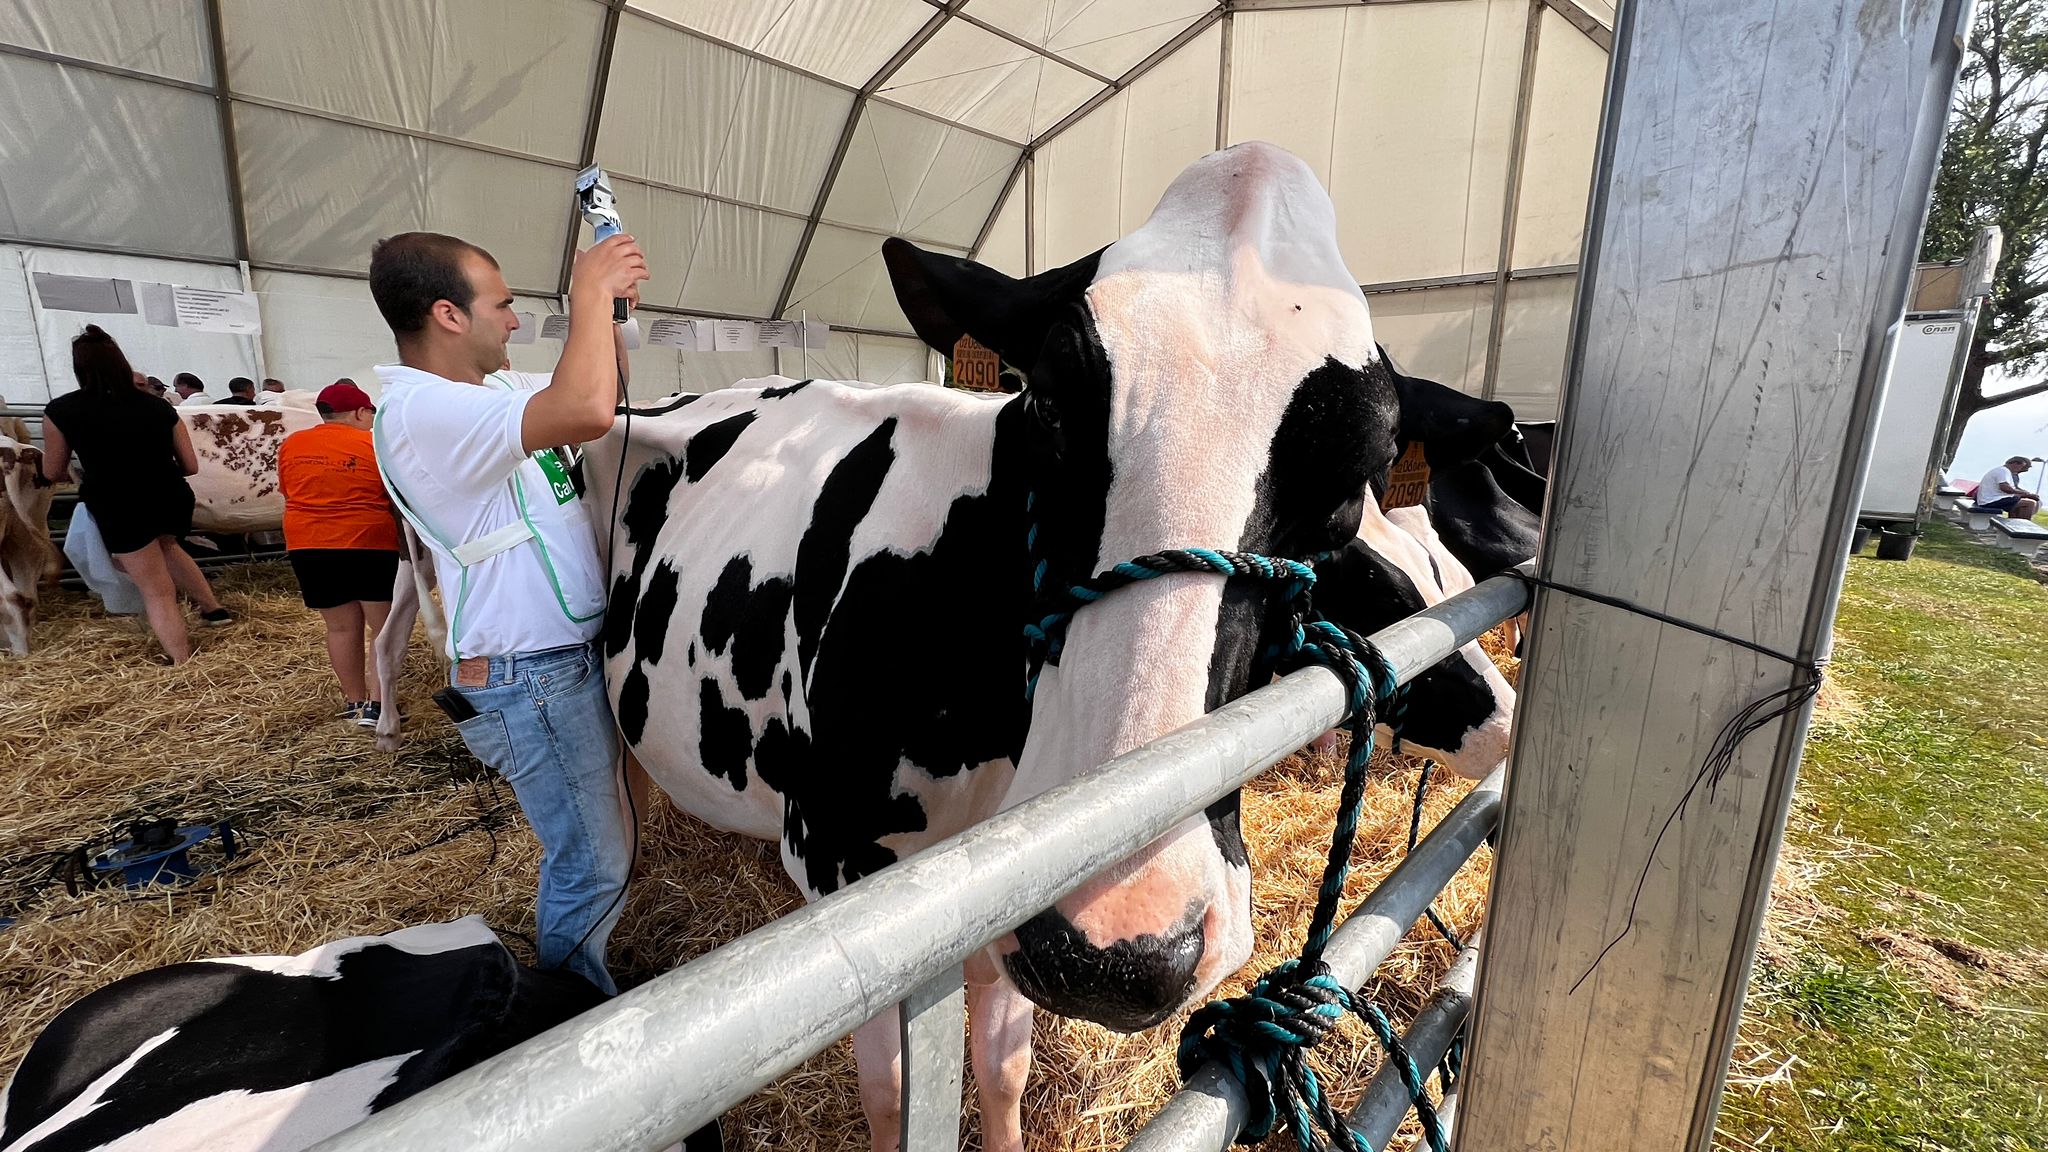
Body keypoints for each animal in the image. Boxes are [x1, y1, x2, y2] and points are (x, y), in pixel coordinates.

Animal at [585, 139, 1515, 1139]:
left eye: (1359, 475)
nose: (1123, 941)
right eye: (1048, 410)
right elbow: (891, 1093)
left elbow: (1002, 1065)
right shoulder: (843, 873)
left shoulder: (1012, 886)